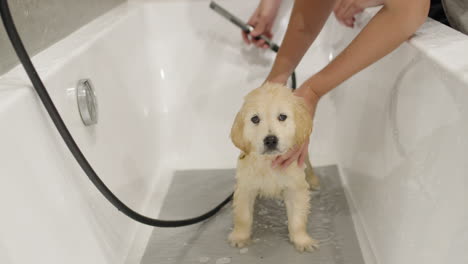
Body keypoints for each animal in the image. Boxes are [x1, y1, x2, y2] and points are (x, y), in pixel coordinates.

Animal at [229, 82, 318, 252]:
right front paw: (240, 237)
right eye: (255, 119)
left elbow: (297, 219)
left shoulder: (295, 187)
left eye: (282, 117)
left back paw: (313, 180)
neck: (268, 162)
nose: (270, 140)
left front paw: (302, 240)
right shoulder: (245, 187)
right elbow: (243, 217)